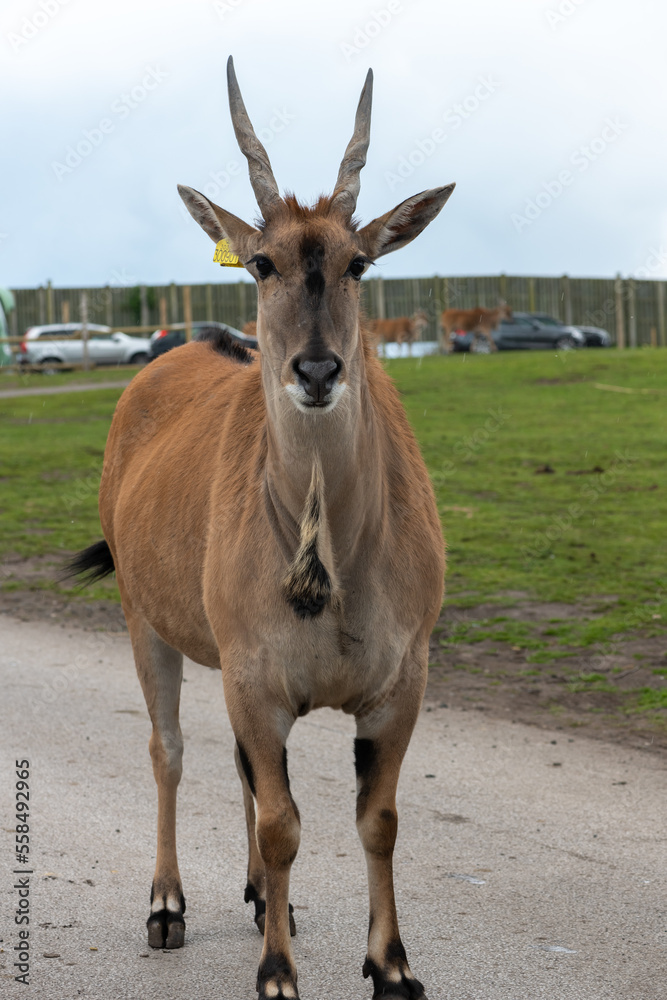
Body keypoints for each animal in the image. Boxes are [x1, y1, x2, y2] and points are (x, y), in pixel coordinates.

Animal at [72, 56, 454, 1000]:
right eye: (259, 263)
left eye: (359, 262)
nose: (316, 370)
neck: (328, 557)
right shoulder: (254, 678)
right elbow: (284, 822)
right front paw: (277, 971)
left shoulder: (400, 682)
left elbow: (377, 818)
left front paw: (390, 965)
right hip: (144, 622)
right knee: (169, 749)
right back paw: (168, 904)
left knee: (242, 771)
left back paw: (253, 898)